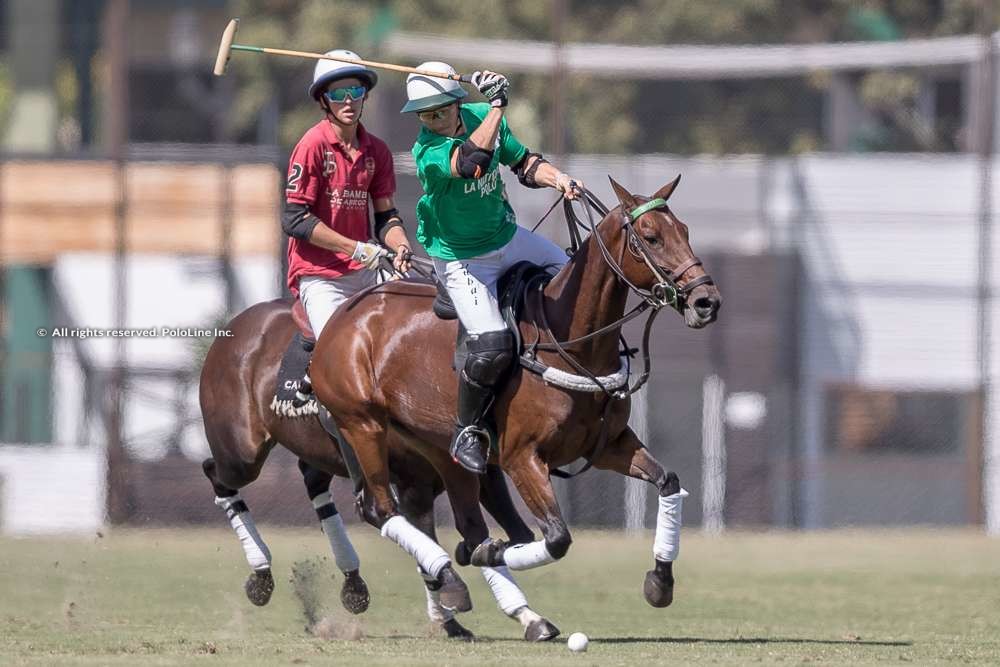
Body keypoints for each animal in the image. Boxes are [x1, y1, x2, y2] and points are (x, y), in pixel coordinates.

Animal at [199, 298, 560, 640]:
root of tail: (236, 323)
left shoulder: (471, 472)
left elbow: (502, 534)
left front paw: (520, 616)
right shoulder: (421, 479)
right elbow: (459, 537)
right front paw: (456, 597)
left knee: (312, 479)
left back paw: (352, 582)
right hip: (242, 454)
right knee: (216, 474)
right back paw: (261, 573)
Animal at [310, 176, 720, 612]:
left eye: (686, 231)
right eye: (651, 237)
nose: (706, 301)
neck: (574, 343)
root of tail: (342, 316)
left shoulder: (610, 445)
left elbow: (668, 481)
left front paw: (660, 581)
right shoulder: (522, 457)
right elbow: (556, 538)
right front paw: (489, 552)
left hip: (434, 443)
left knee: (453, 512)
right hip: (362, 424)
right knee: (382, 509)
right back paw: (449, 571)